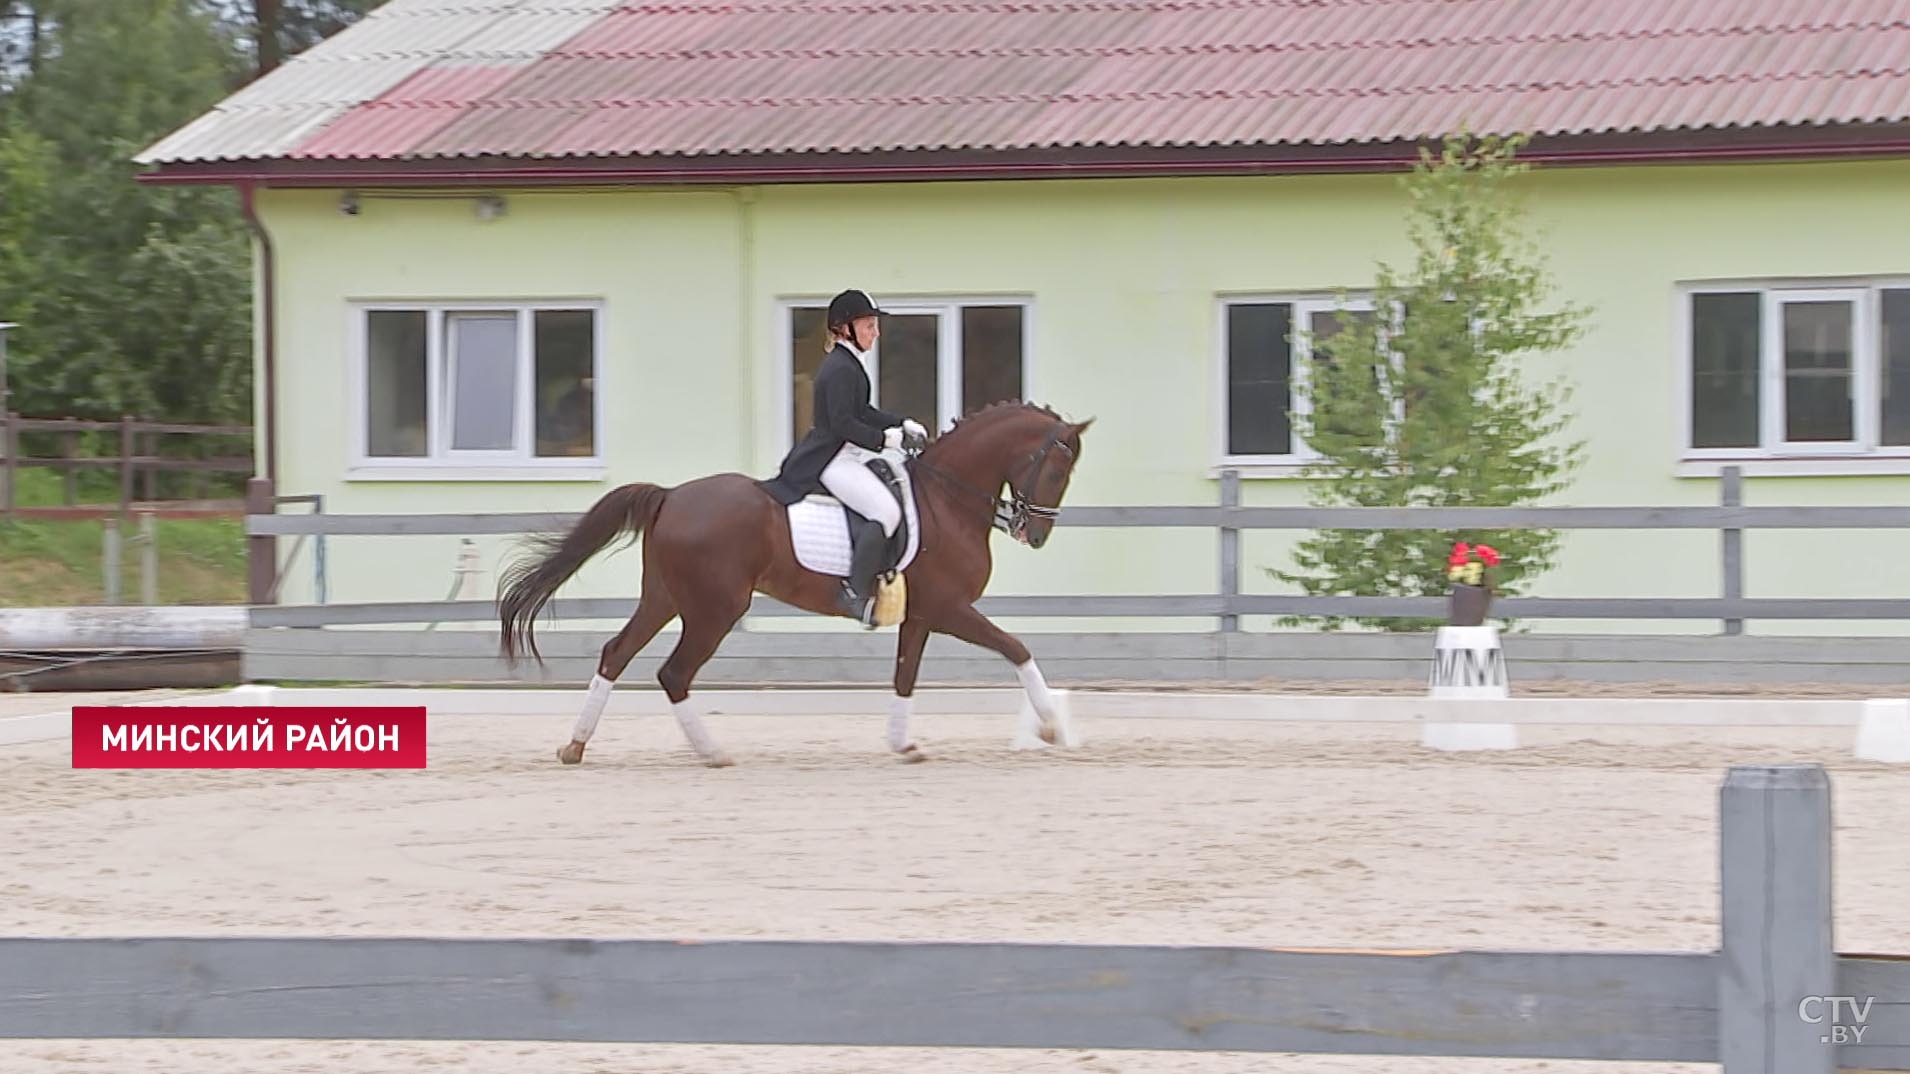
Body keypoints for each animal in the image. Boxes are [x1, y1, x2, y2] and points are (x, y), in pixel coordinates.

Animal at [492, 399, 1092, 760]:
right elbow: (1016, 648)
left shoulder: (921, 615)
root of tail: (670, 495)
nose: (1035, 533)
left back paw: (576, 746)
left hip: (664, 598)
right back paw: (711, 753)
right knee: (672, 673)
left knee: (616, 654)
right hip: (715, 610)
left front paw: (903, 745)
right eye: (1057, 469)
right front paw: (1049, 726)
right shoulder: (950, 609)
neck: (947, 499)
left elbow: (904, 676)